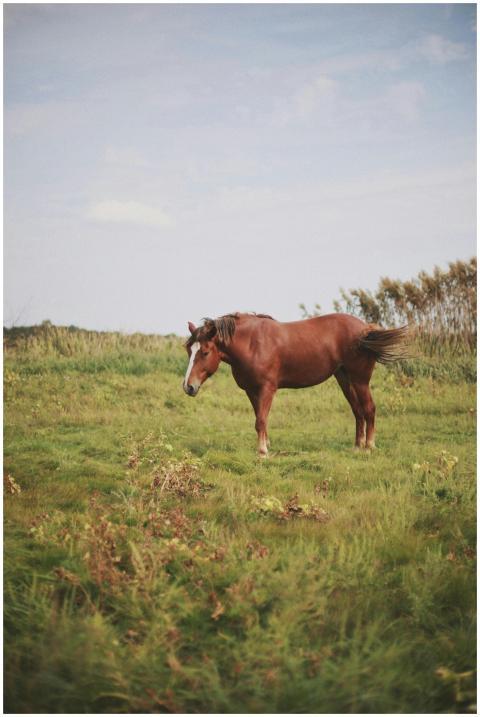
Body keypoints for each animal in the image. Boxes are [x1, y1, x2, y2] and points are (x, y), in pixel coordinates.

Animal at [183, 312, 409, 457]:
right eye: (188, 350)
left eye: (205, 352)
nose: (188, 386)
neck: (252, 343)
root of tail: (365, 330)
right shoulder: (251, 391)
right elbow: (260, 419)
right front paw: (266, 445)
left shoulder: (267, 389)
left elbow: (260, 421)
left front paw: (262, 451)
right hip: (344, 378)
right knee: (358, 411)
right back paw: (357, 446)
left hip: (360, 380)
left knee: (369, 409)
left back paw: (369, 446)